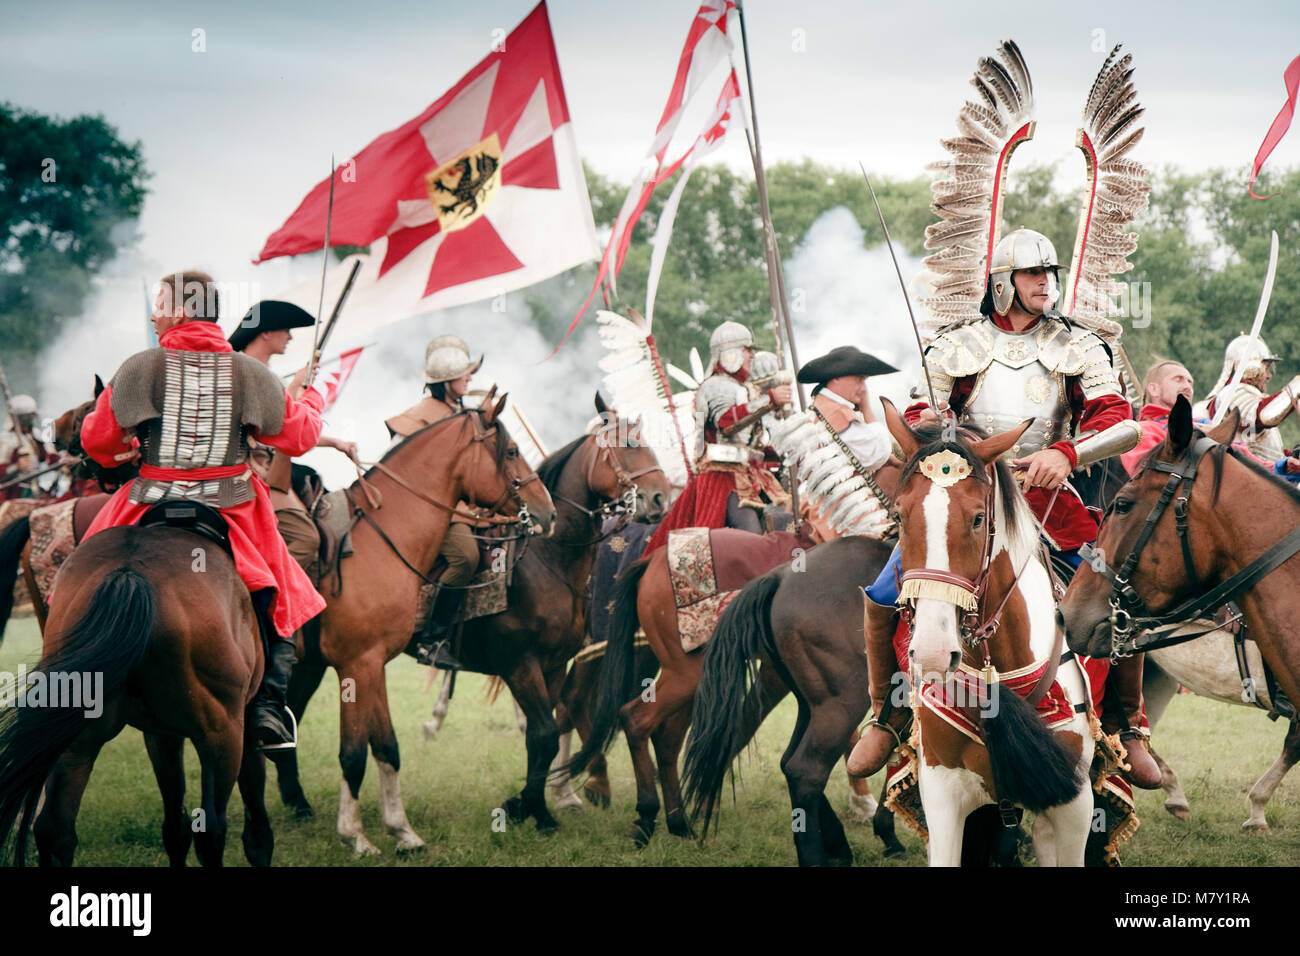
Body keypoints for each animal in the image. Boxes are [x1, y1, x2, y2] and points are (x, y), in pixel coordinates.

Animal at [0, 515, 271, 868]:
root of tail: (130, 574)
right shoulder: (243, 722)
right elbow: (254, 817)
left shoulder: (162, 733)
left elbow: (175, 826)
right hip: (221, 733)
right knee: (211, 829)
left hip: (76, 736)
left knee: (53, 829)